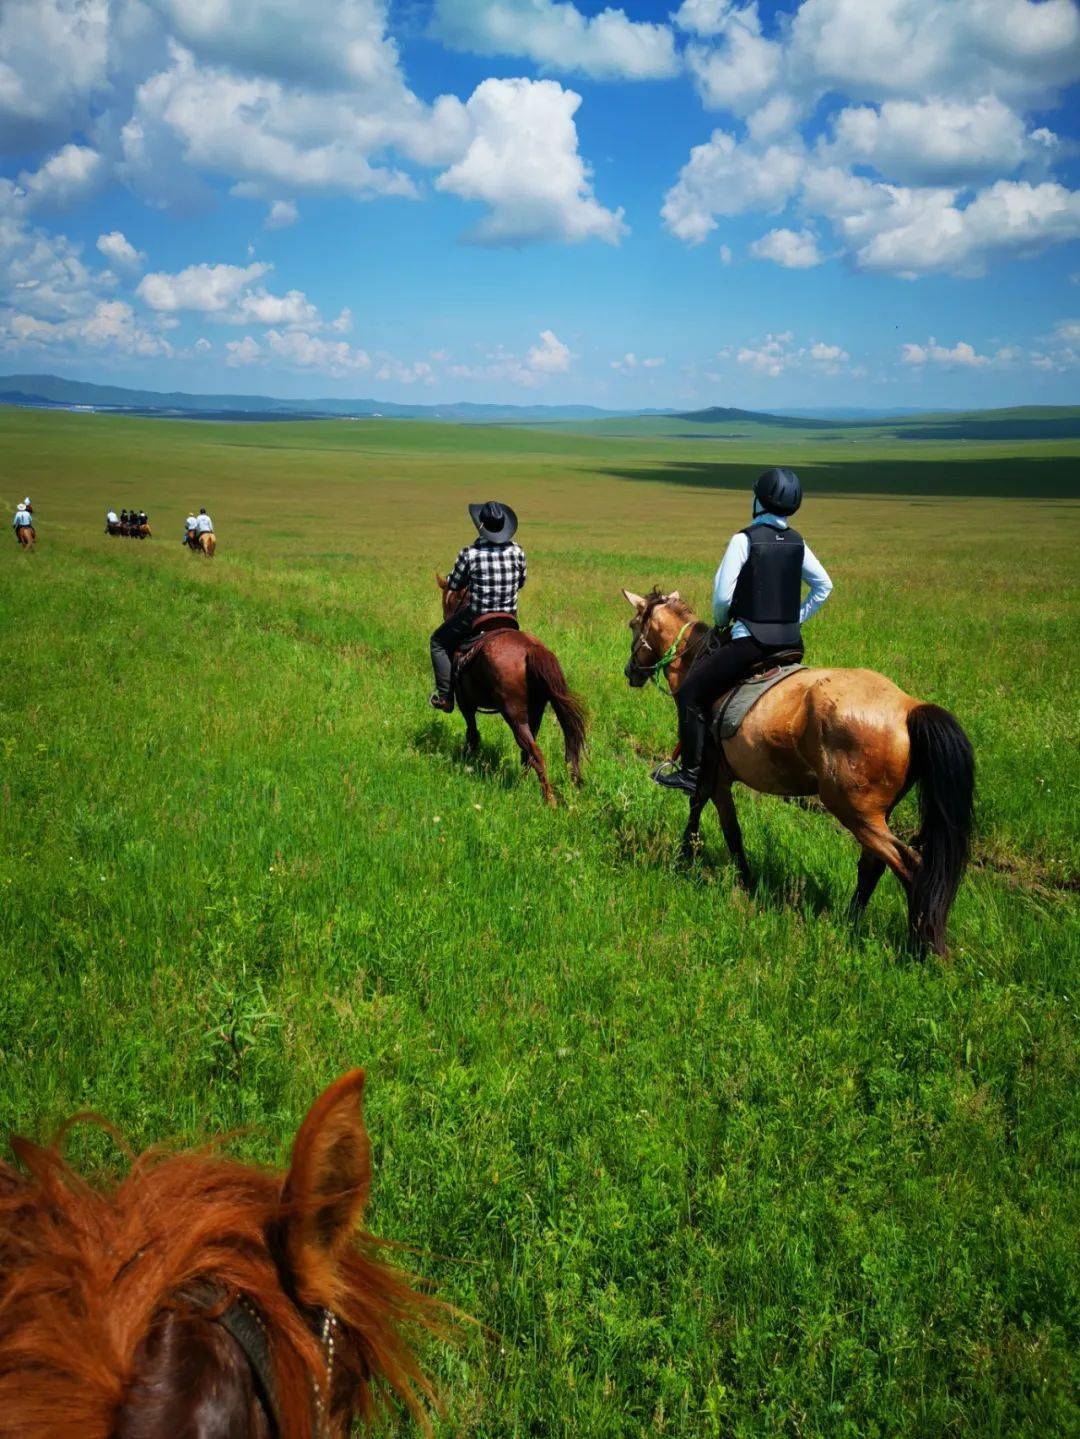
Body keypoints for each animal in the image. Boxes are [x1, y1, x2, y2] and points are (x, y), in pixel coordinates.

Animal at [434, 572, 586, 805]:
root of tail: (531, 649)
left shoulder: (465, 703)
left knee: (534, 753)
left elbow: (472, 735)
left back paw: (549, 800)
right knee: (527, 755)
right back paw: (521, 787)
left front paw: (468, 762)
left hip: (515, 715)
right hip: (535, 712)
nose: (445, 617)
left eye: (448, 600)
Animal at [621, 584, 977, 955]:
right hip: (876, 813)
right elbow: (715, 819)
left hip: (853, 810)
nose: (630, 672)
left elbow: (718, 822)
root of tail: (908, 707)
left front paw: (706, 867)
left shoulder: (712, 774)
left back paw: (920, 946)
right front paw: (726, 873)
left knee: (910, 866)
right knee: (873, 866)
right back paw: (850, 923)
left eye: (633, 625)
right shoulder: (716, 775)